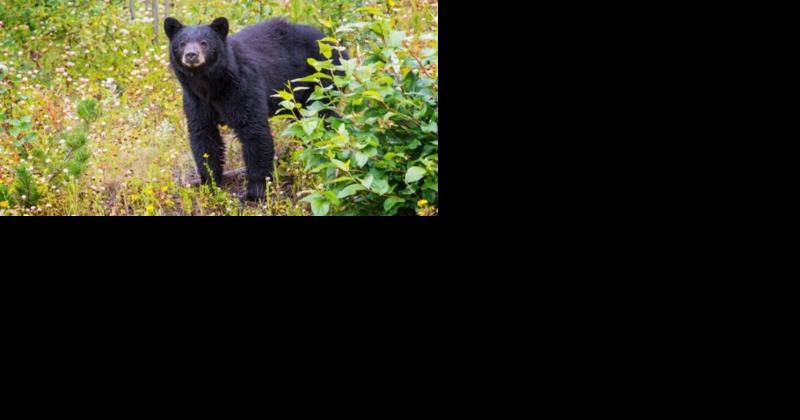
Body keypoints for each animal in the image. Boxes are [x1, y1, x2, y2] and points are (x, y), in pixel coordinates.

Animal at [163, 16, 347, 201]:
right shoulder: (196, 100)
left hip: (320, 79)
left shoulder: (243, 87)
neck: (210, 86)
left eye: (204, 43)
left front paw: (255, 191)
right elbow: (204, 137)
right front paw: (209, 185)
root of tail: (335, 43)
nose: (191, 55)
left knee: (321, 116)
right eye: (182, 43)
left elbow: (253, 132)